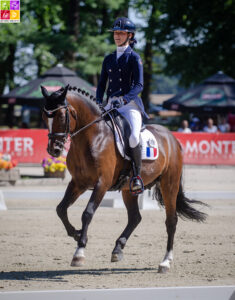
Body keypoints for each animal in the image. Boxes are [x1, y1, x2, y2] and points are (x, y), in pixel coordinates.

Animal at [41, 85, 207, 274]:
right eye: (44, 116)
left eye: (61, 116)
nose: (54, 150)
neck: (93, 137)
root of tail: (172, 138)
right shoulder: (78, 182)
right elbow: (60, 209)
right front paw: (76, 234)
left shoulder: (102, 183)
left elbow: (87, 213)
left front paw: (79, 252)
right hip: (129, 189)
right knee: (135, 217)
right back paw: (117, 249)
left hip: (169, 184)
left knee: (171, 221)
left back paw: (165, 262)